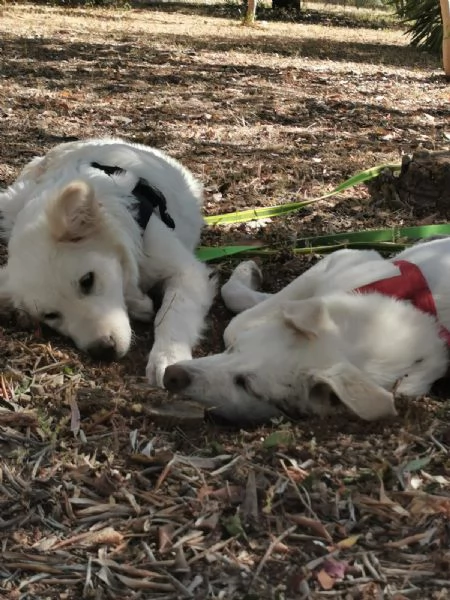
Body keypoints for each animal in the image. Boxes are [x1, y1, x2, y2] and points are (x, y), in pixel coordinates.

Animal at [0, 138, 216, 386]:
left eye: (87, 281)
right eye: (50, 315)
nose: (103, 350)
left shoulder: (187, 271)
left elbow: (173, 312)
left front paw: (169, 357)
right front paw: (140, 304)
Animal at [163, 237, 450, 424]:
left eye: (246, 385)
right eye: (234, 350)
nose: (170, 376)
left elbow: (238, 321)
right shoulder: (344, 259)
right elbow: (244, 313)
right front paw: (248, 275)